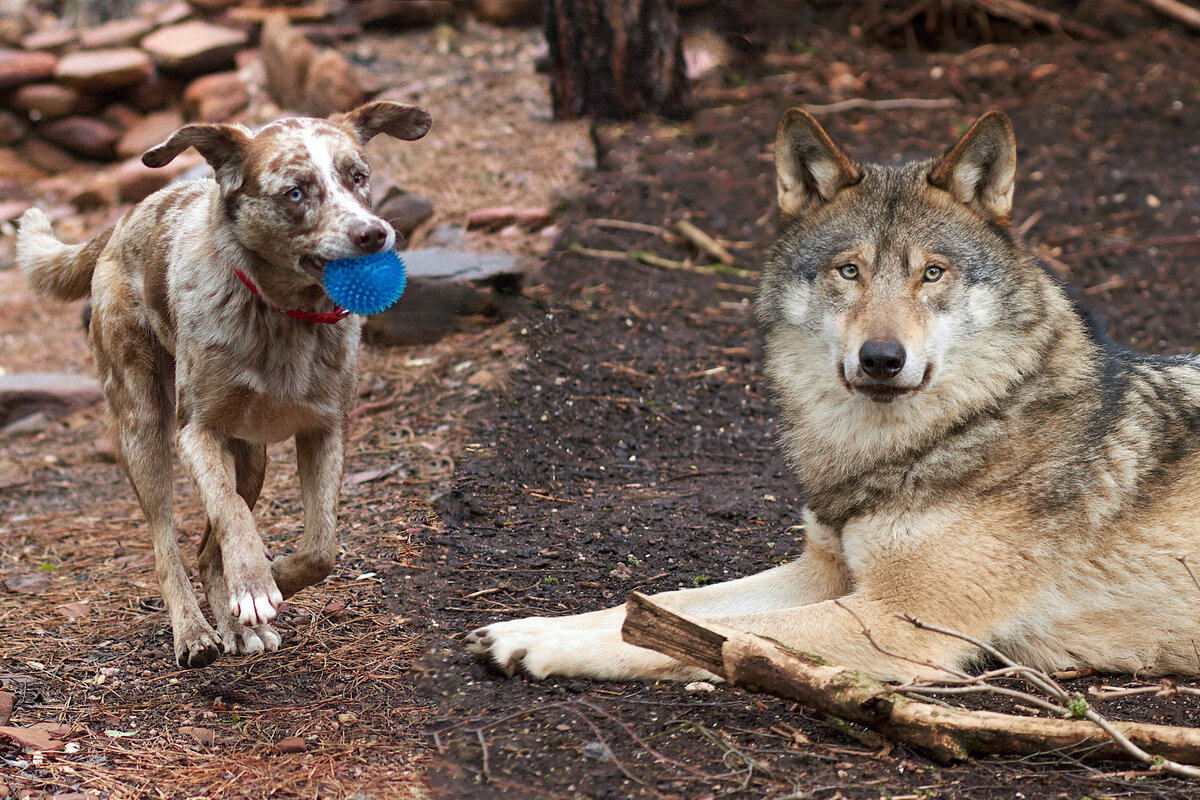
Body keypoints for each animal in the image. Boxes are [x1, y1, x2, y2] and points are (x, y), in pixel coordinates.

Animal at [17, 101, 432, 671]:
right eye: (294, 192)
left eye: (359, 177)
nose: (374, 234)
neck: (284, 316)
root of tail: (123, 220)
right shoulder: (198, 433)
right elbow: (231, 513)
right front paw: (256, 582)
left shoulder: (325, 431)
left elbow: (321, 547)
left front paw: (270, 581)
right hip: (144, 430)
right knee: (169, 543)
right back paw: (194, 630)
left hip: (251, 458)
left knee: (206, 549)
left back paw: (235, 625)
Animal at [463, 109, 1200, 686]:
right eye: (849, 271)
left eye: (932, 273)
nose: (881, 358)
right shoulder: (821, 572)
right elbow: (661, 605)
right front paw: (539, 623)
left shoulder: (898, 624)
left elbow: (718, 637)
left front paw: (542, 644)